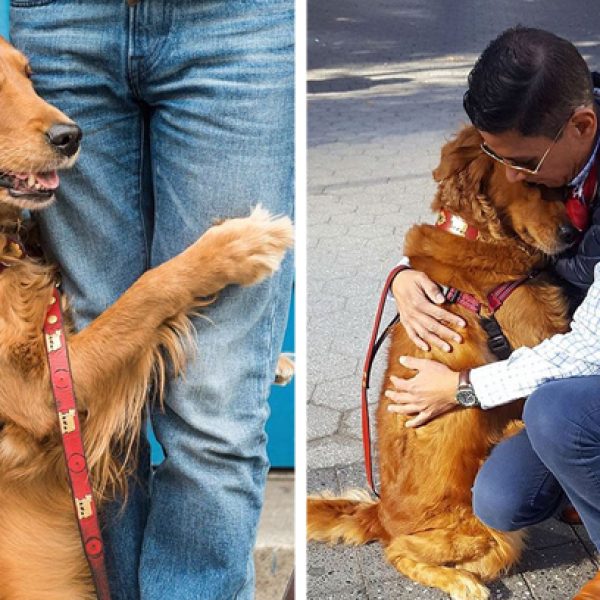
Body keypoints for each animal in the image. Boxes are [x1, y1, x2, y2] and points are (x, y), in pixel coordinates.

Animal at [0, 38, 292, 600]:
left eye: (30, 75)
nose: (71, 136)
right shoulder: (38, 391)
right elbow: (146, 290)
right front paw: (234, 246)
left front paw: (282, 361)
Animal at [308, 124, 576, 596]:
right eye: (530, 184)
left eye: (561, 187)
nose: (570, 234)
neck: (476, 233)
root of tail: (382, 514)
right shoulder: (543, 337)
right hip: (491, 533)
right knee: (400, 552)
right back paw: (462, 582)